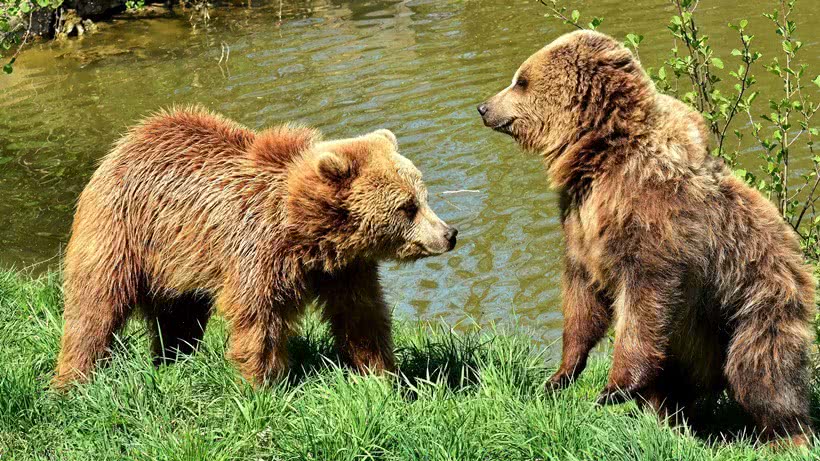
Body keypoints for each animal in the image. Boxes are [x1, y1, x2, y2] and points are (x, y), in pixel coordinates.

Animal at [54, 107, 458, 384]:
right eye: (407, 207)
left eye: (423, 196)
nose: (449, 233)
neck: (310, 235)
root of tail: (125, 143)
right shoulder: (258, 252)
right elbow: (258, 320)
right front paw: (261, 384)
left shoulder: (345, 270)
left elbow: (361, 316)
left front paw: (382, 376)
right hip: (122, 232)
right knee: (95, 306)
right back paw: (74, 380)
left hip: (177, 261)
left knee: (178, 317)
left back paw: (172, 359)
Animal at [478, 30, 816, 444]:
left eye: (521, 81)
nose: (483, 107)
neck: (601, 157)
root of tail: (797, 260)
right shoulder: (581, 222)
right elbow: (581, 295)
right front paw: (560, 375)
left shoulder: (654, 216)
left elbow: (646, 296)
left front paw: (612, 388)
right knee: (680, 382)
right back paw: (667, 417)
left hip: (753, 297)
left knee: (762, 369)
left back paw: (788, 434)